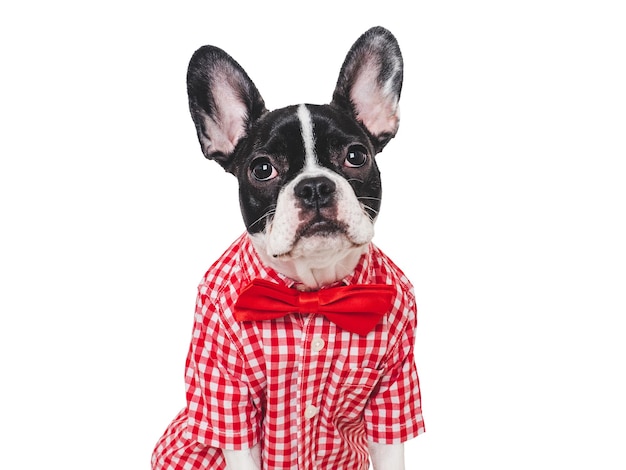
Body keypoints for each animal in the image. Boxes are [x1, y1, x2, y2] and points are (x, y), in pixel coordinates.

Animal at [152, 26, 424, 470]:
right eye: (263, 169)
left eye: (356, 155)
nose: (314, 186)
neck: (314, 291)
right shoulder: (229, 395)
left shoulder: (393, 388)